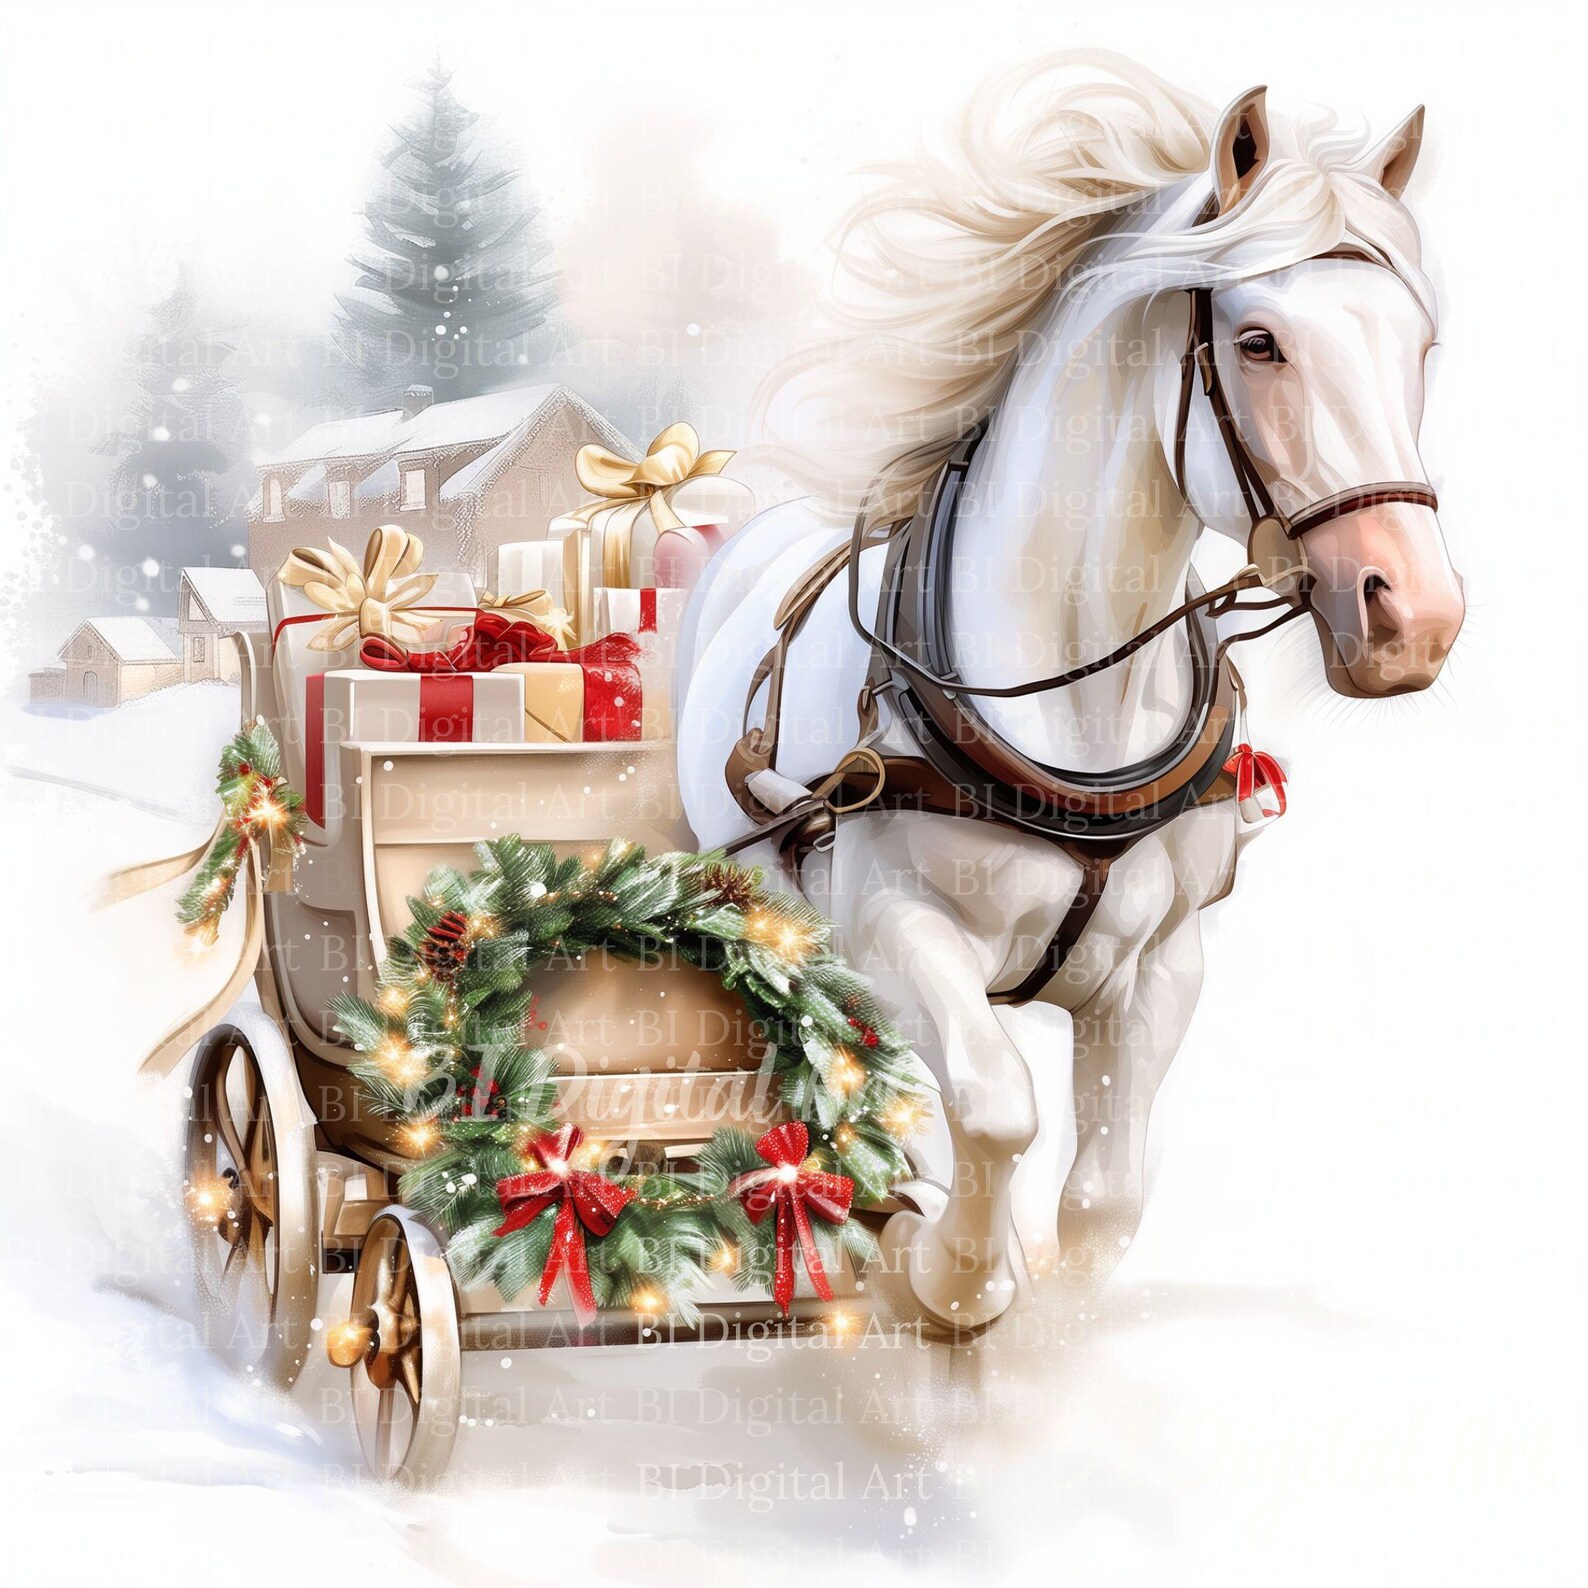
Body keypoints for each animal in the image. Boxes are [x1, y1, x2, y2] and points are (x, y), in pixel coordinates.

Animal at [676, 55, 1464, 1331]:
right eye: (1258, 341)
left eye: (1420, 343)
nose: (1416, 616)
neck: (1074, 707)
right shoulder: (895, 931)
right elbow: (994, 1111)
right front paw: (952, 1270)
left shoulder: (1161, 967)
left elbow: (1105, 1199)